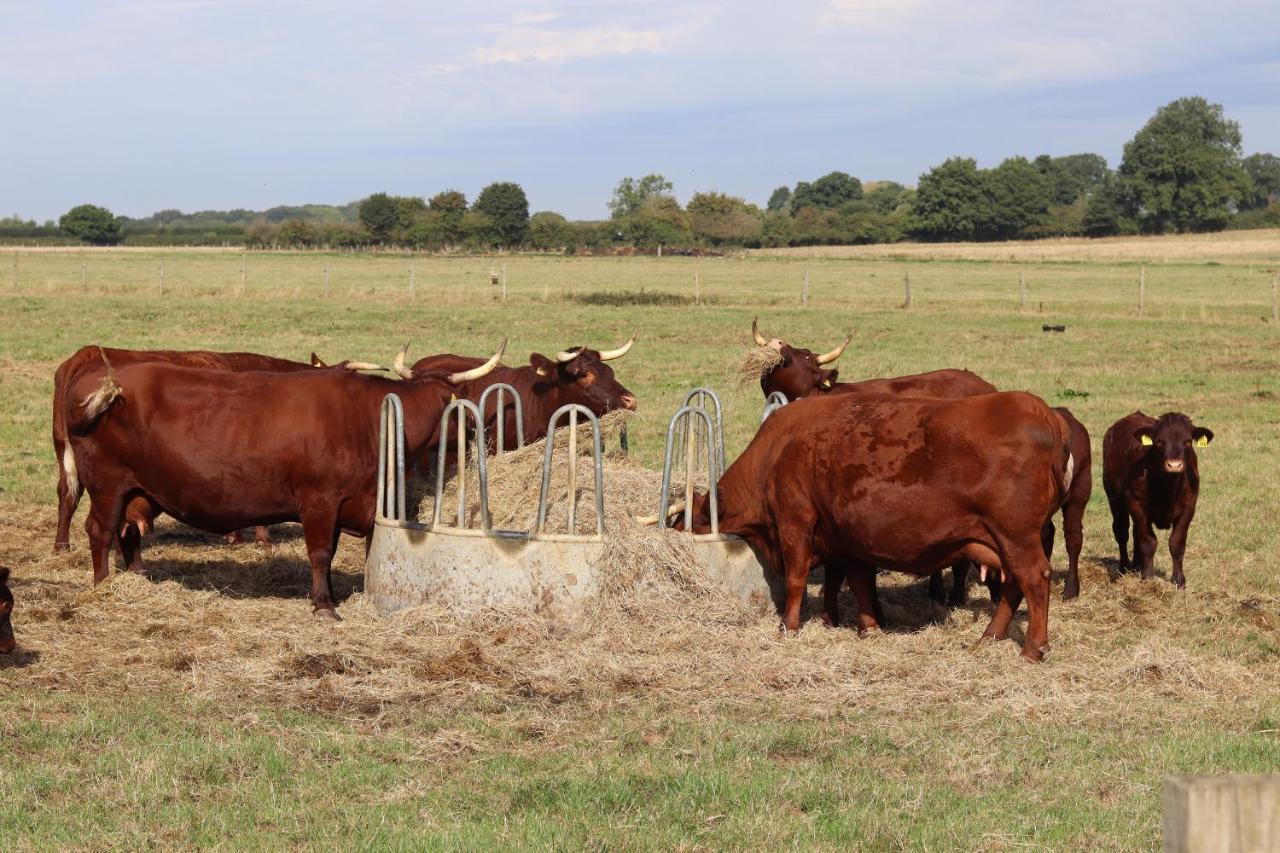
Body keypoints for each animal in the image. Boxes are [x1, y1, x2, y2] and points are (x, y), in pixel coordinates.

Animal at [686, 389, 1075, 660]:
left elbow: (797, 581)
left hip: (1017, 537)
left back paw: (1032, 648)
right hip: (1009, 541)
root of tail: (1043, 412)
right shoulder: (850, 538)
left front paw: (789, 626)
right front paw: (866, 626)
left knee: (1034, 579)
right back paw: (990, 635)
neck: (777, 449)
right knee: (1014, 586)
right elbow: (858, 582)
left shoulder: (794, 523)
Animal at [1100, 409, 1208, 584]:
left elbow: (1177, 543)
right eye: (1159, 441)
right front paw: (1148, 577)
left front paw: (1179, 580)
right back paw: (1124, 567)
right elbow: (1148, 542)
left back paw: (1137, 565)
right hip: (1115, 500)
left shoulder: (1189, 506)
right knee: (1122, 532)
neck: (1168, 488)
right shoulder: (1136, 504)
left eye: (1187, 441)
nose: (1174, 465)